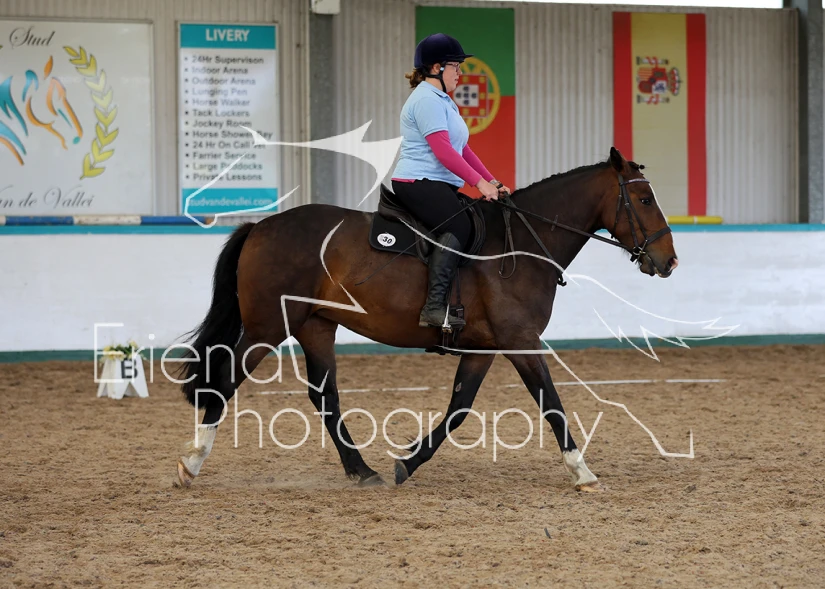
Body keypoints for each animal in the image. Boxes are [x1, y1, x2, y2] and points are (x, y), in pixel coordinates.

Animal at [175, 147, 678, 493]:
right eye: (644, 199)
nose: (668, 261)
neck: (519, 246)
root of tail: (260, 226)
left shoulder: (484, 348)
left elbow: (459, 409)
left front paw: (408, 461)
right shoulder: (521, 340)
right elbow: (550, 402)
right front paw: (582, 471)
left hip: (315, 325)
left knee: (324, 397)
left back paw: (362, 470)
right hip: (267, 329)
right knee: (225, 382)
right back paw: (190, 463)